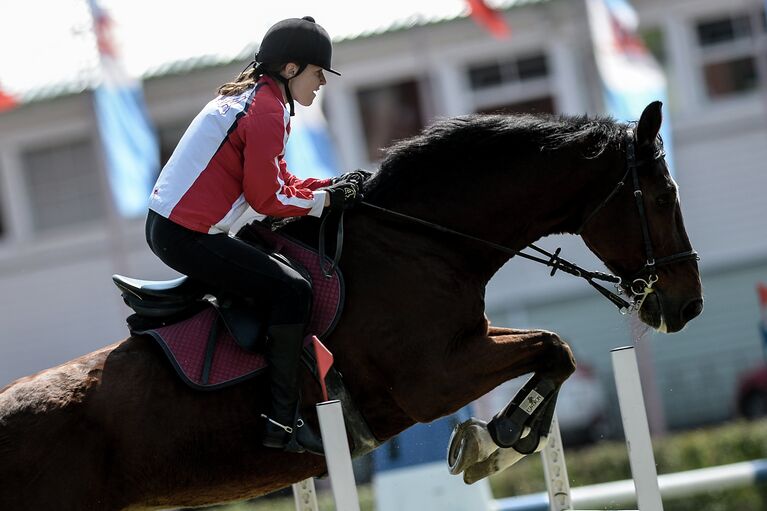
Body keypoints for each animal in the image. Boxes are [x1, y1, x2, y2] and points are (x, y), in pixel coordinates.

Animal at [0, 102, 704, 510]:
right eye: (662, 196)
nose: (689, 305)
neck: (420, 241)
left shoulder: (468, 344)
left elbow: (554, 350)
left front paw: (494, 442)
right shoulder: (437, 378)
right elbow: (554, 346)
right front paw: (497, 440)